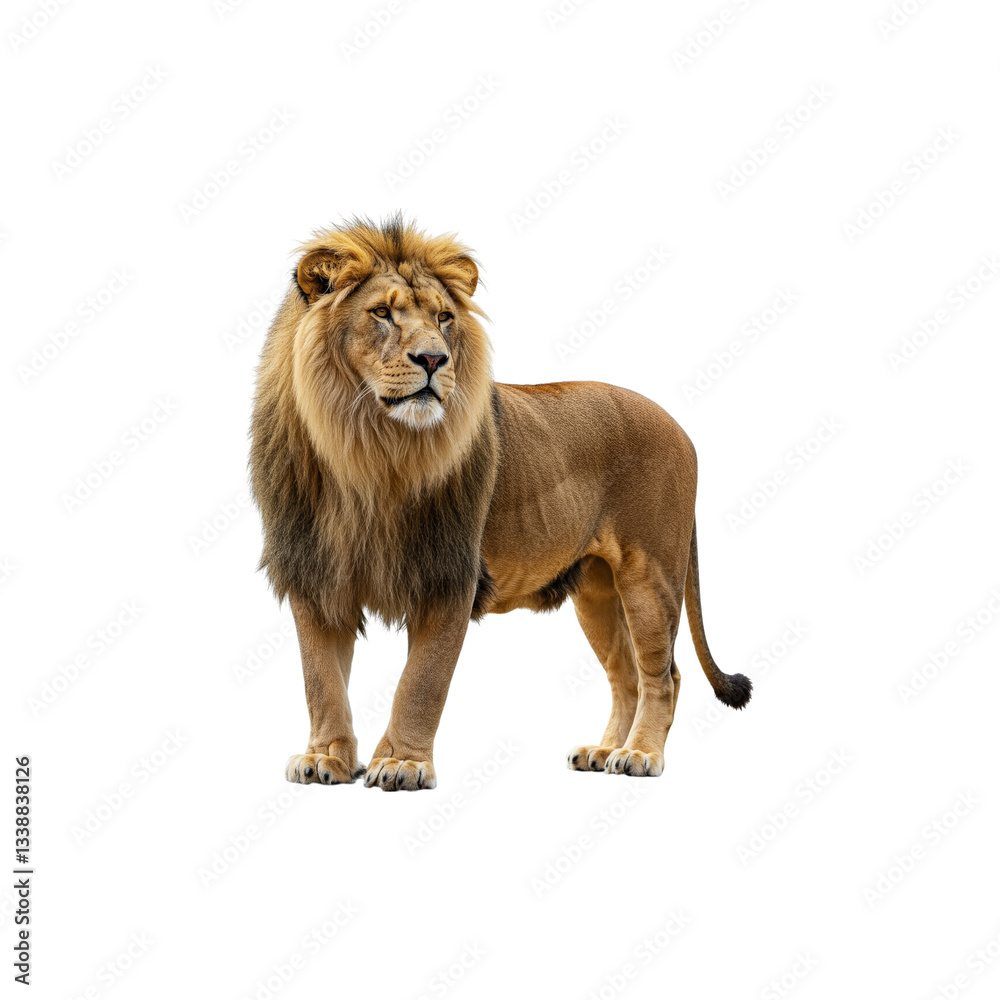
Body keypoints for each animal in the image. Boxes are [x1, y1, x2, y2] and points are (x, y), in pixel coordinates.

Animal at [250, 215, 751, 791]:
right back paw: (603, 751)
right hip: (597, 590)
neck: (368, 450)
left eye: (443, 318)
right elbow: (321, 680)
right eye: (381, 313)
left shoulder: (449, 575)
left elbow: (421, 683)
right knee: (625, 674)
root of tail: (681, 427)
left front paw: (402, 763)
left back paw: (640, 754)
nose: (434, 359)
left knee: (663, 673)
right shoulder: (314, 573)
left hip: (651, 573)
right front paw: (325, 759)